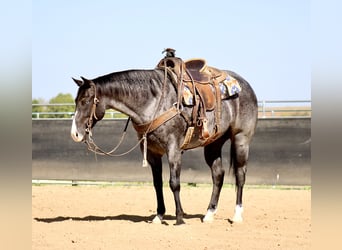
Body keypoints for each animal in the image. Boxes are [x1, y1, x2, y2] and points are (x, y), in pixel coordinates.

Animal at [71, 60, 258, 225]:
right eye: (76, 101)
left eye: (85, 101)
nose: (75, 134)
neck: (154, 102)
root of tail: (246, 86)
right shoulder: (152, 153)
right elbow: (157, 184)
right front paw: (159, 216)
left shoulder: (173, 149)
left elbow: (174, 183)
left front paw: (179, 218)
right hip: (214, 144)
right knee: (218, 174)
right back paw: (209, 214)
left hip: (241, 139)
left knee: (240, 175)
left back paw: (237, 215)